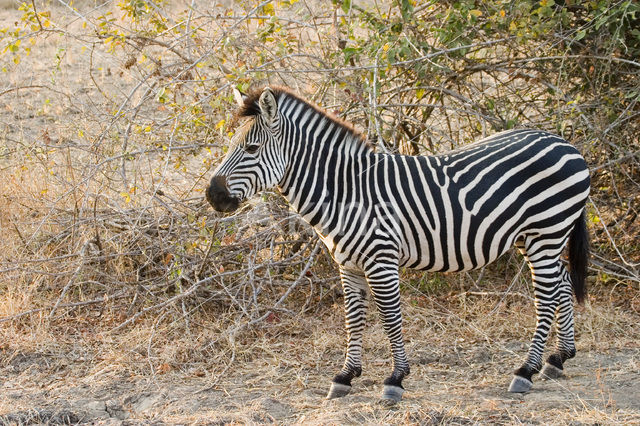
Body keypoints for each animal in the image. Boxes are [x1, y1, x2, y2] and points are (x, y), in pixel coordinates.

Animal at [205, 85, 592, 402]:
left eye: (251, 148)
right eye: (231, 146)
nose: (212, 196)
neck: (347, 193)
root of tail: (566, 144)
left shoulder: (381, 259)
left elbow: (390, 317)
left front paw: (395, 379)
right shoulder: (348, 264)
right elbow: (353, 319)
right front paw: (345, 376)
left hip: (546, 231)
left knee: (547, 296)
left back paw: (526, 370)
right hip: (535, 237)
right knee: (562, 283)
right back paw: (558, 359)